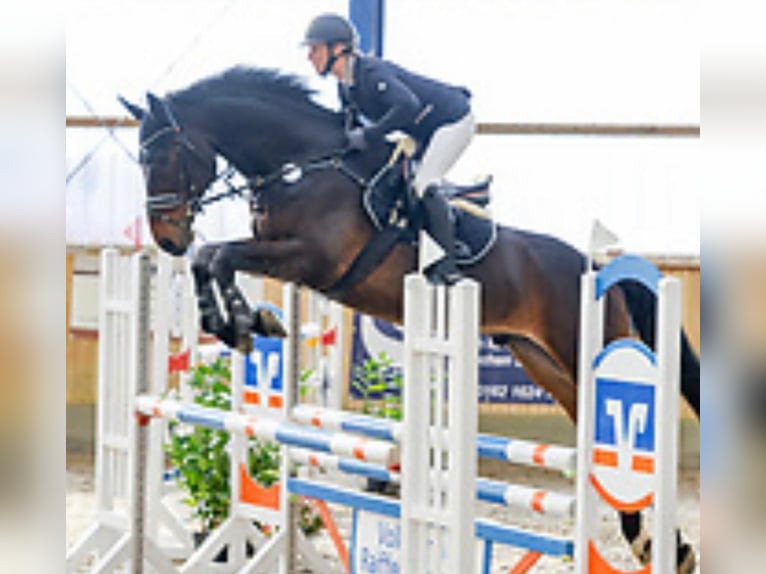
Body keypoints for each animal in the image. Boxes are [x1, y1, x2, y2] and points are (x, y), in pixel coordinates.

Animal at [120, 66, 704, 572]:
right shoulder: (281, 255)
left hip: (584, 346)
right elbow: (210, 258)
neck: (305, 165)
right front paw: (248, 322)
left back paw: (663, 546)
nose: (166, 239)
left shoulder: (311, 259)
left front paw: (244, 323)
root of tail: (598, 267)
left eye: (164, 154)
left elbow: (218, 255)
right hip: (540, 358)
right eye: (142, 161)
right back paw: (656, 545)